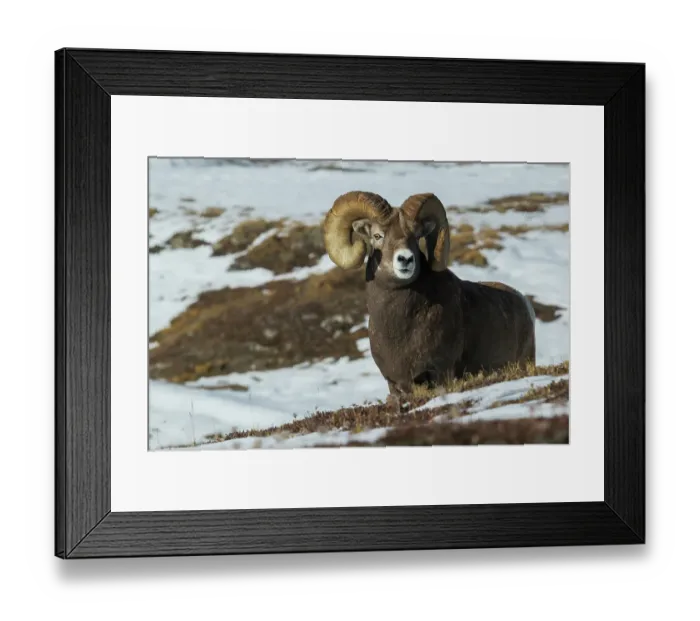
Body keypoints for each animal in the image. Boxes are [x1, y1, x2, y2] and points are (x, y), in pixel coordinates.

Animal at [323, 190, 536, 398]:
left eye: (416, 237)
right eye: (377, 236)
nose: (405, 259)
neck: (398, 328)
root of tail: (525, 304)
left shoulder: (441, 373)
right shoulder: (394, 385)